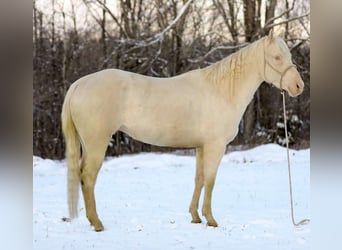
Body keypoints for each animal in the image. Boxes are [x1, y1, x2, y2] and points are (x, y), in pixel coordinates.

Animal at [62, 32, 304, 231]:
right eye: (276, 57)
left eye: (289, 55)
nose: (298, 86)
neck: (221, 91)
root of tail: (79, 84)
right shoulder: (216, 146)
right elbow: (210, 179)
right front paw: (211, 219)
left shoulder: (201, 147)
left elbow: (199, 179)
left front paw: (195, 216)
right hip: (97, 143)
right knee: (88, 177)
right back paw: (97, 223)